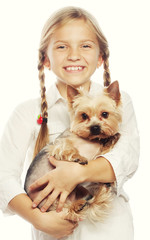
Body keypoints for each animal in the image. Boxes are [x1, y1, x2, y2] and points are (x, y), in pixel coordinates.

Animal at [24, 80, 122, 221]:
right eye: (84, 115)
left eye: (105, 114)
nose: (95, 127)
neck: (90, 140)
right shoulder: (57, 145)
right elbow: (68, 147)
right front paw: (78, 157)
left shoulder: (98, 153)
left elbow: (104, 148)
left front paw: (112, 137)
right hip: (50, 200)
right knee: (68, 210)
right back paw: (78, 205)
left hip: (78, 189)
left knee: (86, 202)